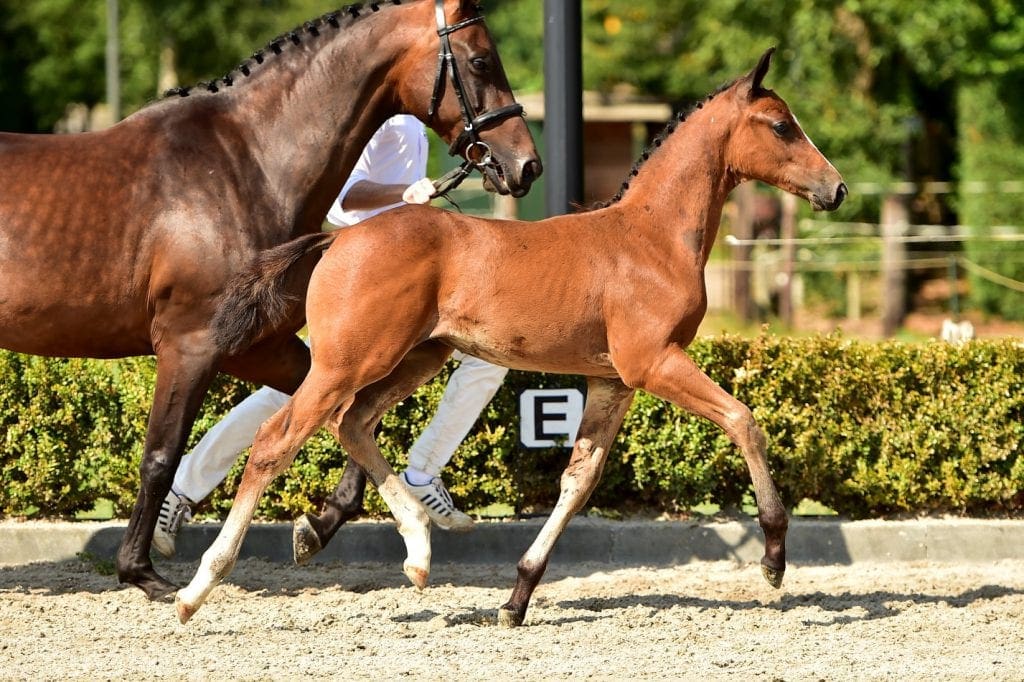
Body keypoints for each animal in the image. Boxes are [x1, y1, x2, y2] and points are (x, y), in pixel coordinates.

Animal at [0, 0, 540, 601]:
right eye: (480, 61)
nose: (526, 165)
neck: (245, 166)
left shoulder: (257, 348)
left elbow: (350, 419)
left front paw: (318, 528)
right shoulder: (190, 346)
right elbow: (160, 456)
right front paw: (143, 573)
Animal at [175, 47, 846, 626]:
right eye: (781, 126)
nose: (835, 188)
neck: (651, 237)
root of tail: (339, 239)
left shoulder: (612, 381)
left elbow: (578, 482)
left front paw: (516, 597)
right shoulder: (653, 362)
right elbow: (743, 420)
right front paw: (774, 558)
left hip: (416, 357)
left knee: (353, 423)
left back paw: (417, 551)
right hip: (347, 362)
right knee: (274, 441)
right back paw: (196, 588)